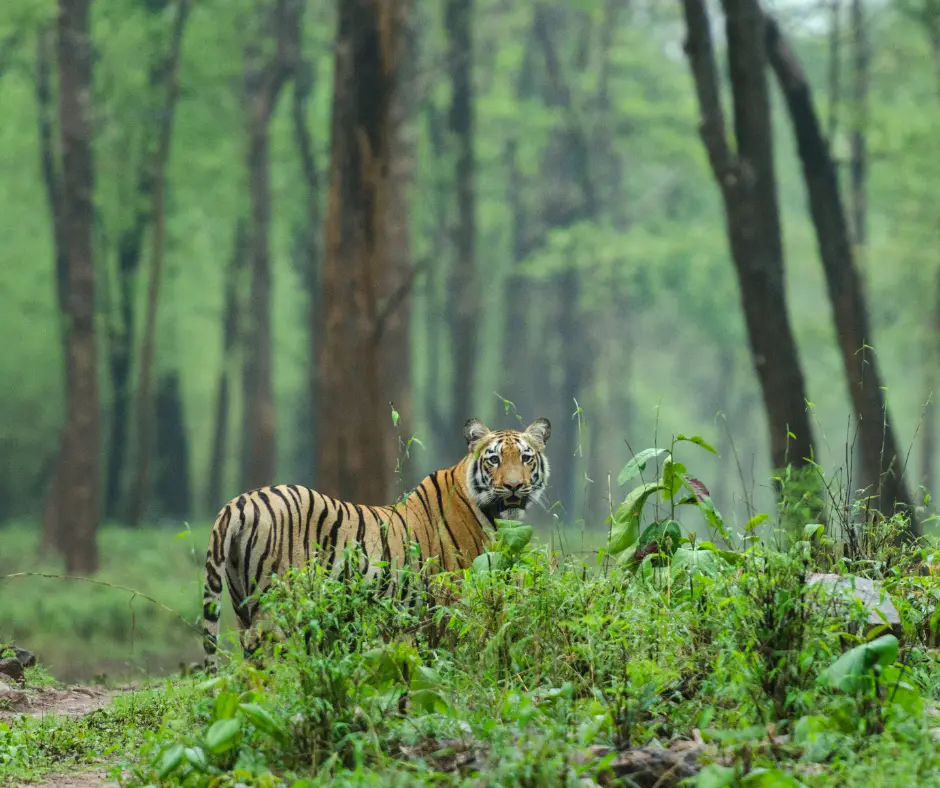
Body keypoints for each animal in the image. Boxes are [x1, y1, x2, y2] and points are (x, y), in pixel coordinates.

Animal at [200, 416, 552, 668]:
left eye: (525, 458)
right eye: (493, 460)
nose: (513, 486)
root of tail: (238, 503)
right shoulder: (452, 603)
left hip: (244, 607)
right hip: (278, 611)